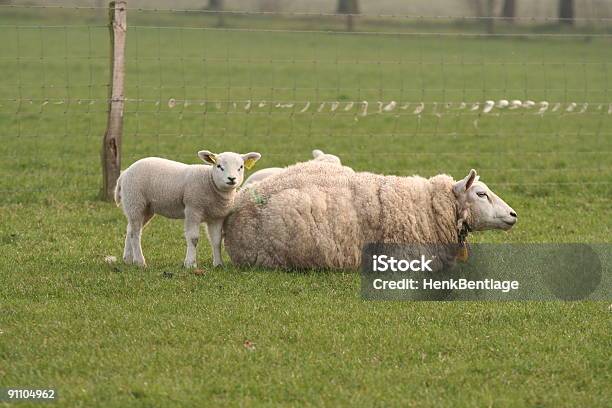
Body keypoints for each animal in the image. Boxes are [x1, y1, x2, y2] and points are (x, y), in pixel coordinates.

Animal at [115, 150, 260, 268]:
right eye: (219, 166)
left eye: (241, 167)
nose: (231, 179)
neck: (210, 182)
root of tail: (125, 173)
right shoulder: (192, 209)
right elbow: (193, 238)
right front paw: (190, 263)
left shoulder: (216, 216)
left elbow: (217, 240)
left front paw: (218, 264)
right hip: (135, 201)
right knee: (135, 233)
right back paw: (140, 262)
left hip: (146, 208)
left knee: (130, 229)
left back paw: (128, 259)